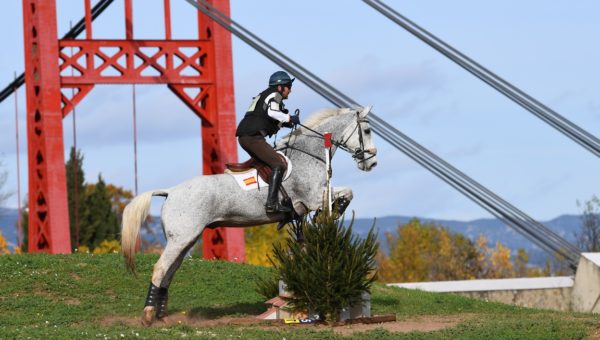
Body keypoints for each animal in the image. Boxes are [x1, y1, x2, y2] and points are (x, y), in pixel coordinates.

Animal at [119, 105, 378, 324]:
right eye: (366, 130)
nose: (372, 163)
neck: (310, 155)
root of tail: (170, 191)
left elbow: (345, 193)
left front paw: (330, 213)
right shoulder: (312, 197)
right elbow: (345, 192)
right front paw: (332, 212)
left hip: (185, 240)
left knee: (169, 273)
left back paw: (161, 316)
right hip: (181, 239)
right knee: (160, 269)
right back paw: (148, 316)